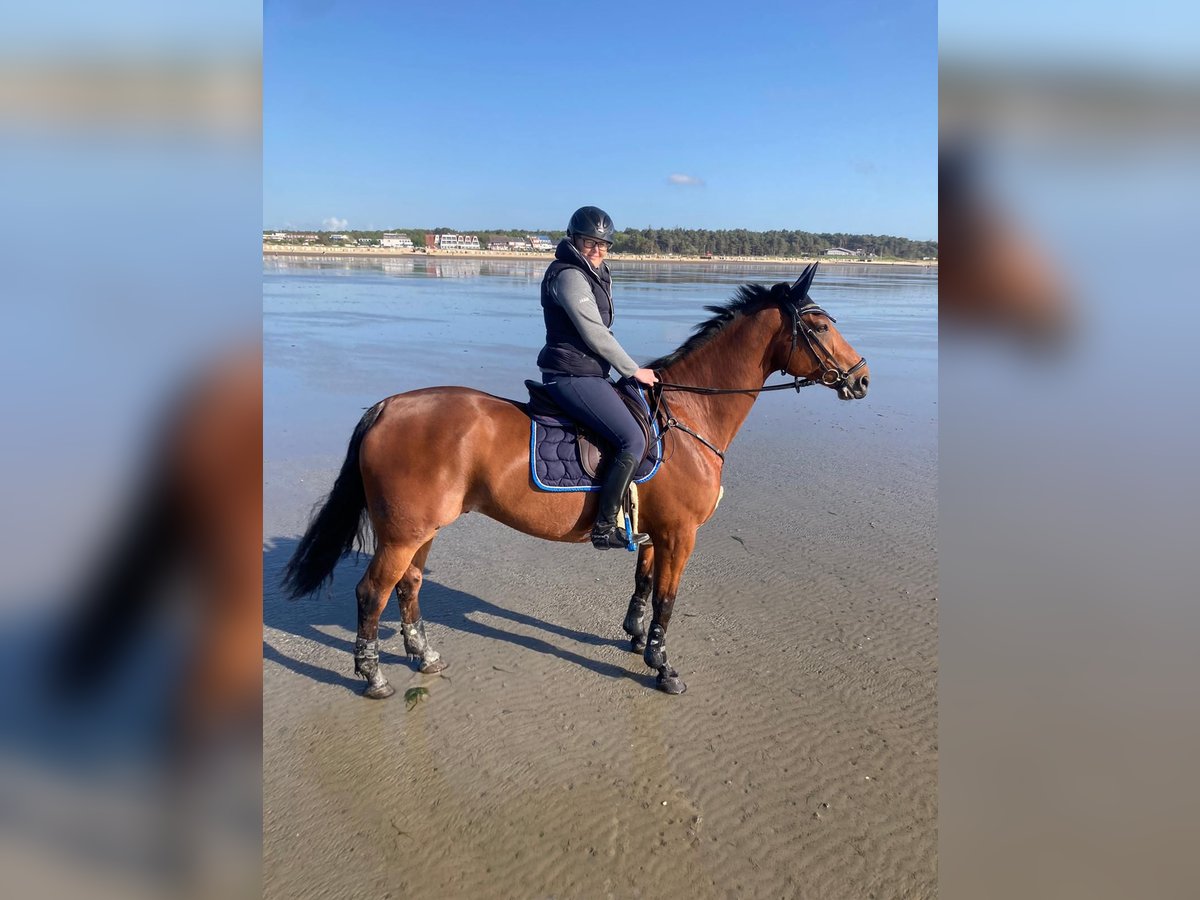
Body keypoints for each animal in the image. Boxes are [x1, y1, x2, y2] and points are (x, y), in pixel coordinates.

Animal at [280, 260, 868, 696]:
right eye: (819, 326)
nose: (862, 379)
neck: (688, 416)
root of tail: (386, 406)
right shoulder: (681, 535)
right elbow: (668, 599)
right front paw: (663, 667)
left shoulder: (656, 532)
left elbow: (644, 585)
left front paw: (636, 641)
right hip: (403, 532)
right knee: (371, 591)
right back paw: (373, 675)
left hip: (421, 530)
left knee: (409, 585)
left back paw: (423, 657)